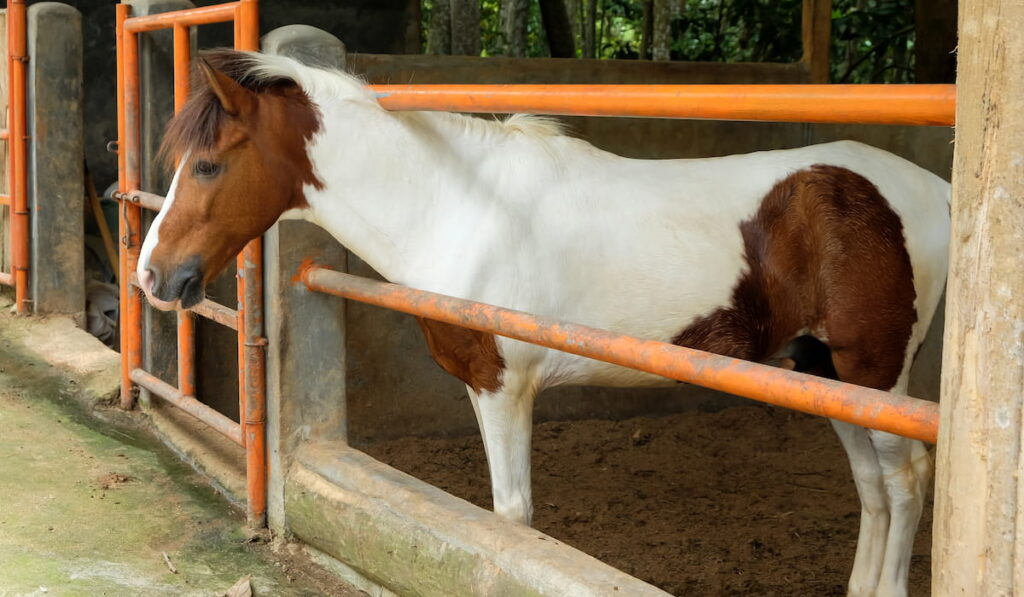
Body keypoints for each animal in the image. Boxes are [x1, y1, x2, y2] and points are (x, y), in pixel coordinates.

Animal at [138, 51, 950, 597]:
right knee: (874, 486)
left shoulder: (504, 388)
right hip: (828, 373)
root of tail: (936, 190)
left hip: (876, 372)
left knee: (905, 479)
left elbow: (510, 521)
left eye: (208, 164)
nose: (152, 276)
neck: (458, 206)